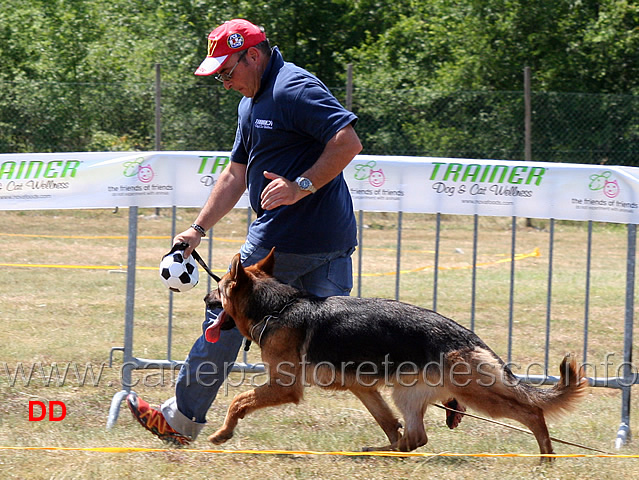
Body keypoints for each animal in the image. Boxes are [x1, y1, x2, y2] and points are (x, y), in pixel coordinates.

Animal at [202, 249, 588, 456]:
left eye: (218, 289)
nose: (204, 298)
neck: (276, 307)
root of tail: (470, 336)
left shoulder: (284, 387)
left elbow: (238, 401)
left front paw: (222, 434)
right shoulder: (363, 388)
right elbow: (388, 423)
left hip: (475, 393)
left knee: (531, 412)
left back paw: (547, 457)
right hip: (407, 393)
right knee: (413, 438)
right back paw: (373, 452)